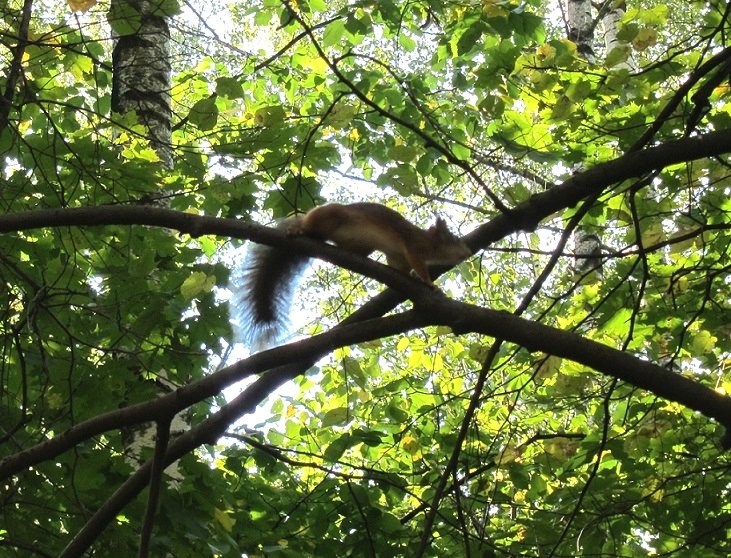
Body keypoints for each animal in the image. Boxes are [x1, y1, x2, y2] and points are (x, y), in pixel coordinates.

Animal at [232, 201, 472, 350]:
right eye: (453, 238)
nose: (467, 252)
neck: (429, 242)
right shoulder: (413, 245)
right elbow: (419, 265)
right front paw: (429, 283)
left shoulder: (398, 257)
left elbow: (401, 267)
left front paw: (413, 277)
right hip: (328, 215)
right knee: (310, 226)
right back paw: (300, 230)